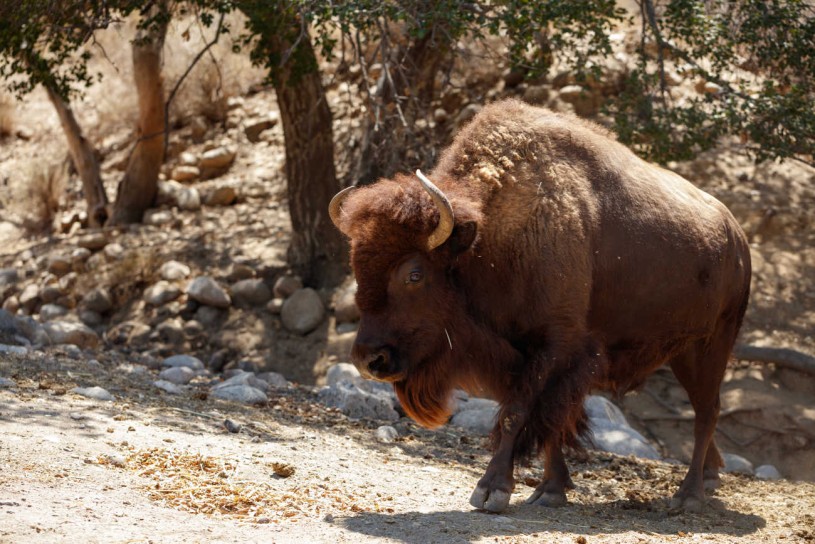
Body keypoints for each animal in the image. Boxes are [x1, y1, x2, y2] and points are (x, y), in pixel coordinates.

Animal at [330, 100, 752, 512]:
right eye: (355, 265)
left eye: (414, 274)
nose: (370, 360)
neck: (488, 242)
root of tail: (737, 237)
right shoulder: (523, 357)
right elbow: (549, 419)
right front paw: (550, 489)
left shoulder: (554, 347)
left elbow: (520, 414)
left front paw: (491, 491)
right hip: (682, 353)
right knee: (704, 411)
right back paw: (710, 477)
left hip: (712, 346)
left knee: (707, 411)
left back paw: (689, 496)